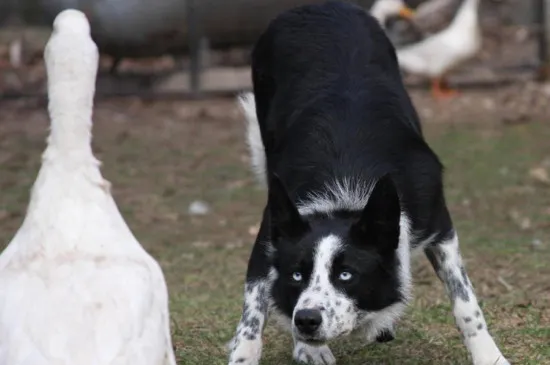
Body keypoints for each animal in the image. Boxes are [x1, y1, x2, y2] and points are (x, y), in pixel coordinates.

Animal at [227, 1, 508, 362]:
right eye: (297, 274)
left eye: (346, 275)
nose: (307, 321)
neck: (345, 195)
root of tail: (315, 7)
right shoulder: (270, 233)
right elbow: (254, 310)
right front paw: (286, 347)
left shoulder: (439, 225)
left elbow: (464, 301)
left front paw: (490, 356)